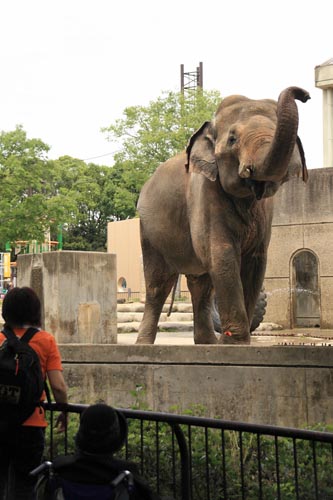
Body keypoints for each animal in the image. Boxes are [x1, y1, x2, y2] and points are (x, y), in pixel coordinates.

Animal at [135, 87, 308, 344]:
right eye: (232, 139)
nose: (305, 95)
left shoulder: (266, 210)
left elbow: (255, 260)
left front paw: (235, 344)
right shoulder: (205, 192)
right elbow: (223, 254)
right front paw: (235, 344)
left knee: (202, 286)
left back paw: (207, 343)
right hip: (149, 231)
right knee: (158, 284)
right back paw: (145, 344)